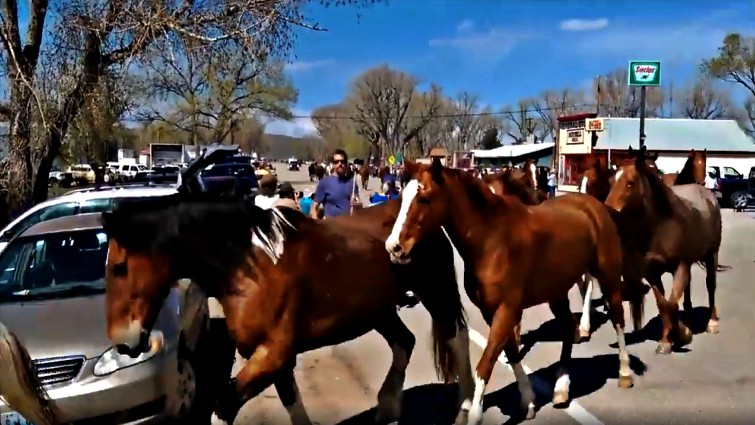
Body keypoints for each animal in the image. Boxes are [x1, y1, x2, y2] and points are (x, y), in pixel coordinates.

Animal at [102, 195, 475, 425]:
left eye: (119, 267)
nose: (124, 342)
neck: (252, 264)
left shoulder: (274, 354)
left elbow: (224, 403)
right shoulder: (273, 358)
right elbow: (290, 400)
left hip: (436, 292)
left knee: (457, 336)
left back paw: (466, 405)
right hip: (378, 310)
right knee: (404, 342)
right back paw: (388, 407)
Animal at [385, 159, 641, 424]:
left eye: (424, 198)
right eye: (402, 196)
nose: (394, 247)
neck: (492, 239)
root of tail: (596, 206)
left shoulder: (506, 310)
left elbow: (485, 363)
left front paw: (475, 415)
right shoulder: (491, 312)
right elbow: (512, 352)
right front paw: (528, 402)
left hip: (608, 277)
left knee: (618, 319)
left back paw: (624, 373)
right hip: (556, 293)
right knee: (568, 329)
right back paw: (561, 388)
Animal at [605, 145, 727, 354]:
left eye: (630, 183)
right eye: (611, 181)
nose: (608, 212)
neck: (661, 226)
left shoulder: (680, 267)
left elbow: (671, 303)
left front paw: (682, 334)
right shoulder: (652, 273)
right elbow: (664, 304)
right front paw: (667, 340)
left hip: (712, 255)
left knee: (711, 285)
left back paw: (711, 322)